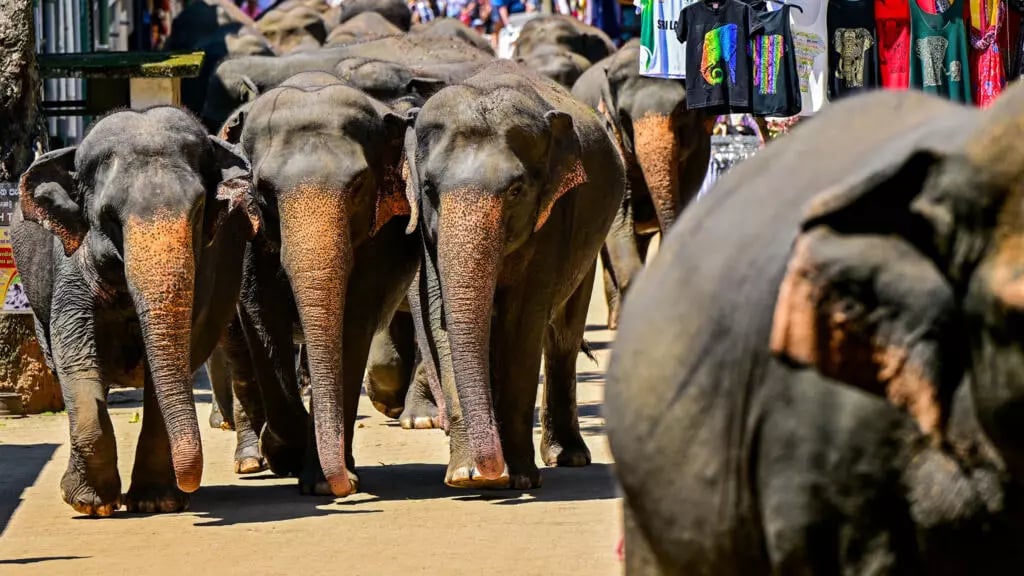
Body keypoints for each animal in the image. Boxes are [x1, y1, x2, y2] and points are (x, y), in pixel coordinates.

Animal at [11, 107, 258, 516]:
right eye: (109, 216)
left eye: (198, 211)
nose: (190, 484)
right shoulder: (71, 263)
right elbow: (76, 357)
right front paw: (91, 504)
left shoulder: (205, 270)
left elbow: (178, 357)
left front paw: (157, 502)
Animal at [224, 70, 415, 494]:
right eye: (263, 189)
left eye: (358, 185)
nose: (342, 486)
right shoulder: (247, 229)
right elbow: (260, 315)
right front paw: (284, 454)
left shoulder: (381, 238)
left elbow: (353, 323)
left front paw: (324, 482)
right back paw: (251, 459)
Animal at [405, 60, 622, 485]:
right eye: (430, 189)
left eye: (517, 190)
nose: (493, 470)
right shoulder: (426, 232)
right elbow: (442, 319)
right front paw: (467, 475)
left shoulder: (554, 216)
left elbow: (523, 324)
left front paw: (520, 478)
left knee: (563, 336)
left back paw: (569, 457)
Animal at [573, 38, 708, 327]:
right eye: (623, 116)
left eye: (682, 110)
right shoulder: (608, 135)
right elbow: (620, 212)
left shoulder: (701, 146)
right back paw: (615, 321)